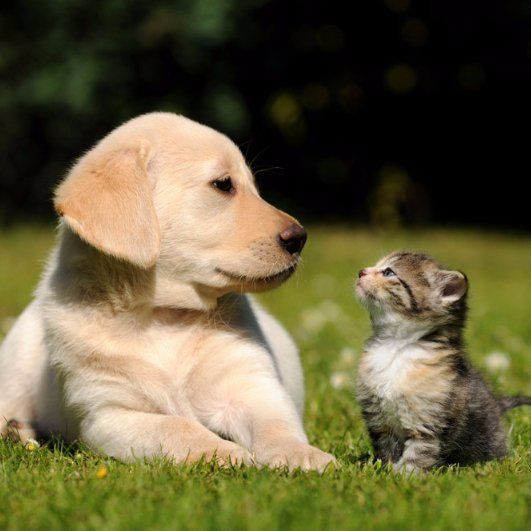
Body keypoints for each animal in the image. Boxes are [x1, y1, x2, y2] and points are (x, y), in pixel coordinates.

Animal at [0, 114, 334, 472]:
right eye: (223, 184)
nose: (299, 238)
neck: (163, 316)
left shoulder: (251, 385)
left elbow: (275, 424)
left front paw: (302, 454)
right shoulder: (108, 414)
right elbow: (177, 426)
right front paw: (225, 453)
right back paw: (16, 431)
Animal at [356, 252, 528, 474]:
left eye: (388, 272)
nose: (361, 271)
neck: (396, 346)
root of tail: (497, 404)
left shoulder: (429, 422)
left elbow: (419, 452)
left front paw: (406, 476)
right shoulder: (380, 420)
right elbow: (387, 449)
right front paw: (386, 471)